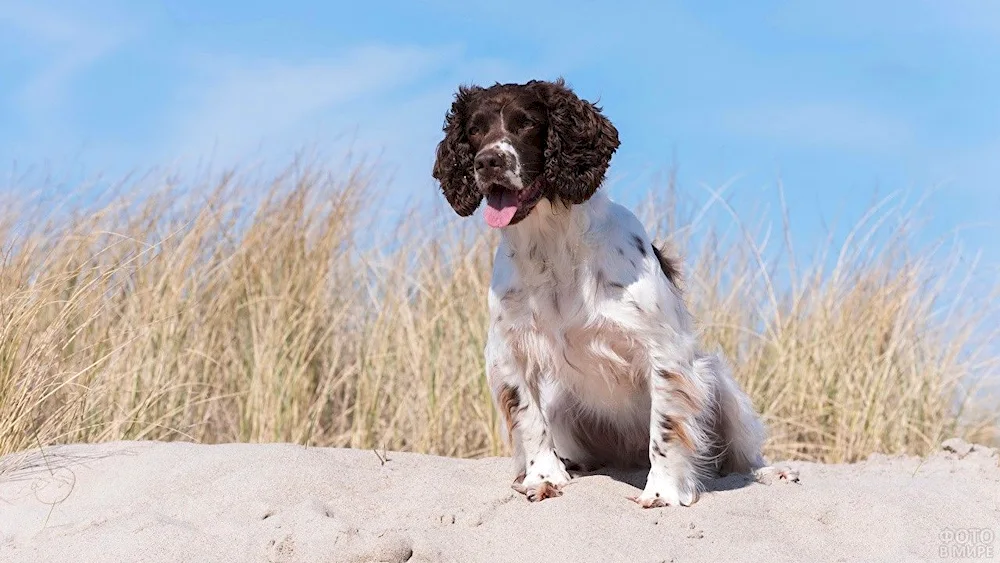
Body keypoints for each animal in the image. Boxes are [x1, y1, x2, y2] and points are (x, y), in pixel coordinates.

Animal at [430, 78, 764, 506]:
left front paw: (663, 490)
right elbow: (529, 418)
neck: (552, 246)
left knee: (744, 455)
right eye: (474, 130)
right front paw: (544, 476)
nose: (488, 162)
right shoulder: (510, 349)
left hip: (719, 383)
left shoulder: (665, 350)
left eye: (526, 124)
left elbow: (667, 428)